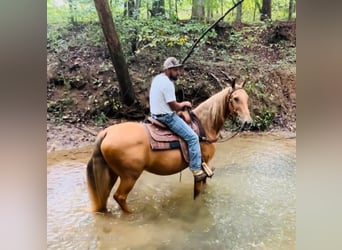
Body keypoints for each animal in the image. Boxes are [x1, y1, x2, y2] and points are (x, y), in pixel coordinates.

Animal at [86, 80, 251, 213]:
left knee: (105, 197)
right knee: (119, 197)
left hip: (112, 174)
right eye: (235, 98)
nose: (248, 122)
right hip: (129, 176)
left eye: (247, 98)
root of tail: (106, 132)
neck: (204, 125)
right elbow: (199, 191)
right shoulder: (202, 166)